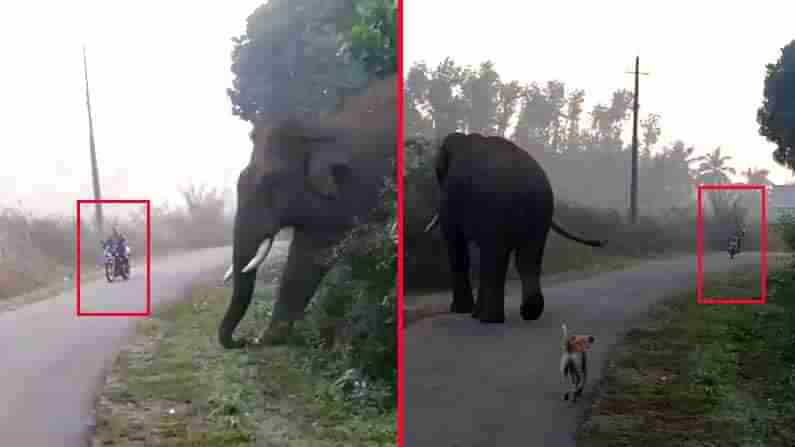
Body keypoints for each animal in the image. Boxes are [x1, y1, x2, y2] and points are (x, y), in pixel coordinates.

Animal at [219, 76, 396, 350]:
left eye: (272, 182)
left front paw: (267, 339)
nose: (243, 340)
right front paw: (270, 337)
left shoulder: (354, 185)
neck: (318, 127)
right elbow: (303, 257)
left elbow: (311, 255)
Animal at [426, 133, 608, 326]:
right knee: (527, 259)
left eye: (437, 172)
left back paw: (489, 319)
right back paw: (528, 312)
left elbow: (456, 247)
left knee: (496, 257)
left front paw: (460, 310)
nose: (602, 241)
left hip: (498, 211)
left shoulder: (450, 198)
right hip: (541, 213)